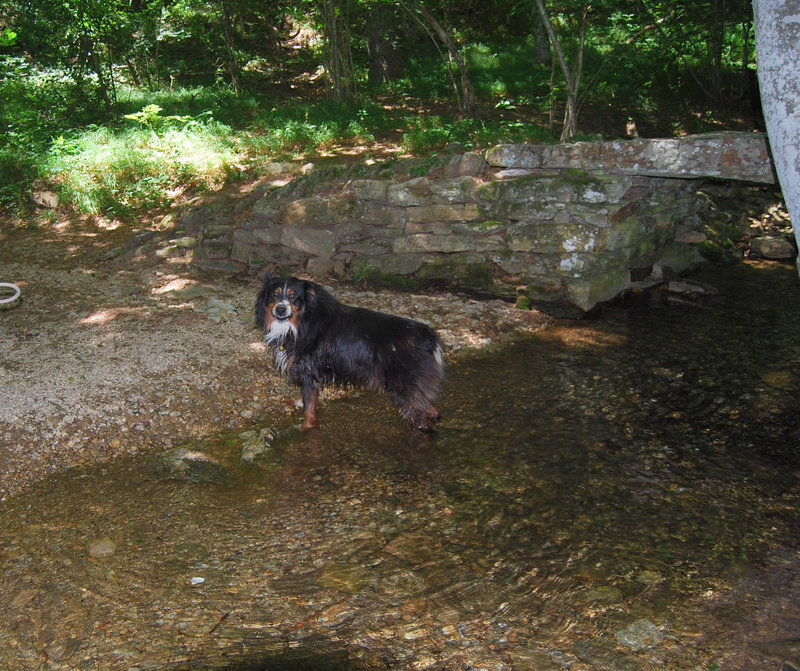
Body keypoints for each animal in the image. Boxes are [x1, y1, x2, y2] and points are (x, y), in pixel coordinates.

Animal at [256, 276, 444, 430]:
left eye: (293, 296)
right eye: (274, 294)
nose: (280, 310)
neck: (302, 322)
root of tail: (427, 336)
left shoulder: (308, 375)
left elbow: (308, 411)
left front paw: (305, 430)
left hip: (404, 386)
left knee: (422, 420)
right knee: (433, 412)